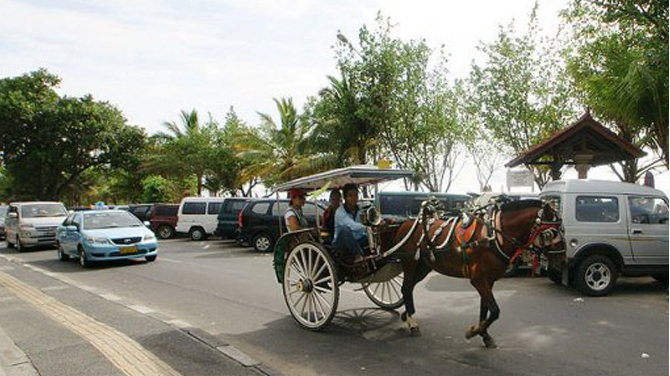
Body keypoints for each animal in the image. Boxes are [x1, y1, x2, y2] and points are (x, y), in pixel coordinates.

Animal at [388, 198, 568, 348]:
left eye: (563, 230)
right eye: (551, 233)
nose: (563, 260)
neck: (494, 235)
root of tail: (405, 223)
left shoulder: (489, 280)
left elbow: (484, 310)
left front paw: (484, 334)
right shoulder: (478, 280)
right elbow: (494, 311)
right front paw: (473, 331)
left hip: (423, 267)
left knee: (409, 288)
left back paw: (407, 315)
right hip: (410, 263)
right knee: (406, 288)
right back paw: (412, 323)